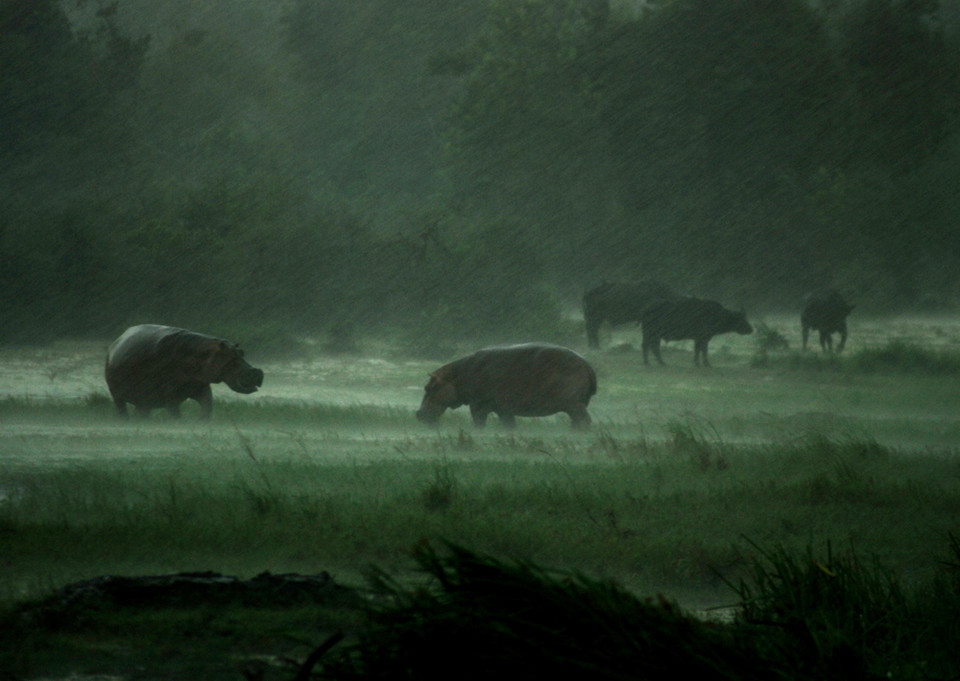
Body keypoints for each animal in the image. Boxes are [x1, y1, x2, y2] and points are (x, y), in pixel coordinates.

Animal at [104, 322, 266, 418]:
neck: (200, 353)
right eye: (231, 357)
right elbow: (175, 412)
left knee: (142, 412)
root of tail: (114, 344)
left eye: (242, 352)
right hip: (116, 395)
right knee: (122, 409)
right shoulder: (169, 393)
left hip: (143, 400)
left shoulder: (200, 385)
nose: (256, 372)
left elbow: (207, 406)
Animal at [416, 342, 596, 428]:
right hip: (575, 405)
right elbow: (509, 425)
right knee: (577, 422)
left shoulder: (478, 405)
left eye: (429, 387)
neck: (456, 377)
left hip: (574, 404)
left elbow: (479, 422)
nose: (418, 414)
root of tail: (587, 364)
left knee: (584, 421)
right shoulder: (504, 410)